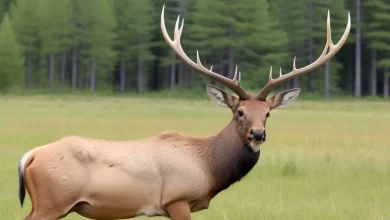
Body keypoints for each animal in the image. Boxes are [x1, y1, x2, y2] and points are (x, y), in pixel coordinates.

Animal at [17, 5, 350, 220]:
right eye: (239, 112)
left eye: (268, 113)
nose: (258, 133)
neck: (208, 168)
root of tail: (28, 157)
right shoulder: (177, 198)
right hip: (52, 202)